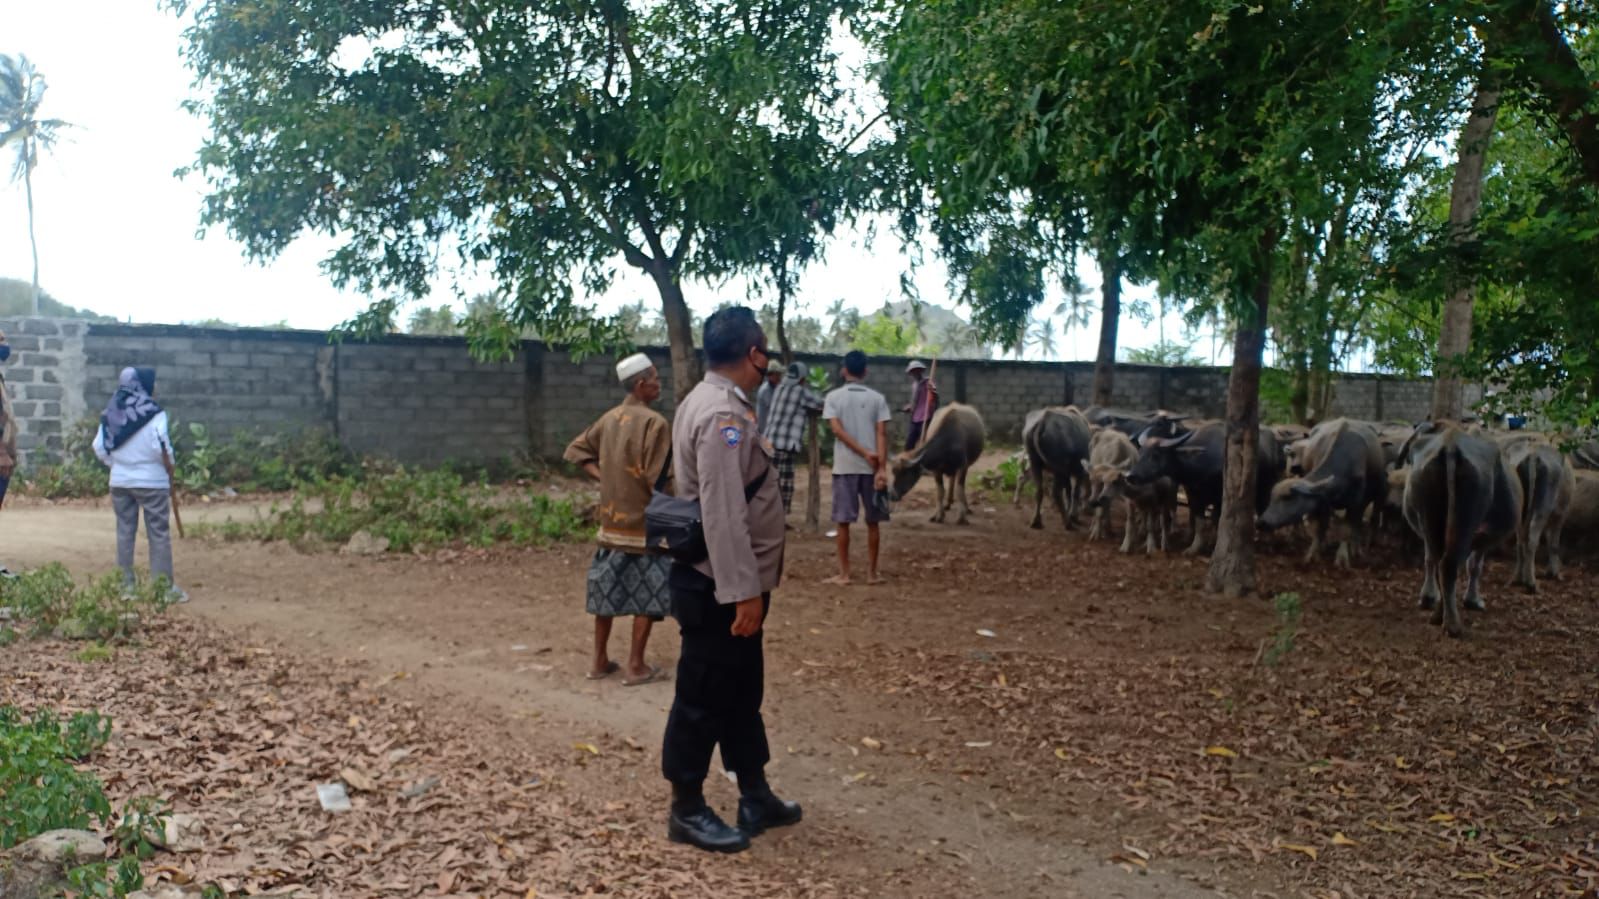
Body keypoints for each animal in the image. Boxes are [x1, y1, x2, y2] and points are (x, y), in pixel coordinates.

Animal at [1125, 419, 1285, 553]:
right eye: (1141, 452)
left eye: (1156, 455)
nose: (1131, 476)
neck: (1199, 464)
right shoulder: (1194, 495)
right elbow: (1200, 522)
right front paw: (1194, 547)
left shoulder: (1220, 498)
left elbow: (1217, 521)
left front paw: (1214, 543)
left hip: (1266, 487)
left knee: (1263, 509)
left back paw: (1267, 542)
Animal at [1260, 415, 1387, 563]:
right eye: (1272, 497)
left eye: (1288, 498)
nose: (1262, 522)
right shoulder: (1322, 499)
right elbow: (1320, 526)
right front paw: (1314, 552)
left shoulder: (1355, 501)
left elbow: (1347, 528)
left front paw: (1342, 557)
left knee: (1362, 521)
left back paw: (1356, 548)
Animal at [1400, 422, 1522, 636]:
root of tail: (1450, 444)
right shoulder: (1483, 536)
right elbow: (1474, 565)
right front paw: (1473, 600)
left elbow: (1430, 560)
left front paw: (1428, 597)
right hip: (1466, 517)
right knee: (1449, 564)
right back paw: (1453, 625)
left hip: (1430, 515)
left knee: (1438, 560)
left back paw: (1438, 615)